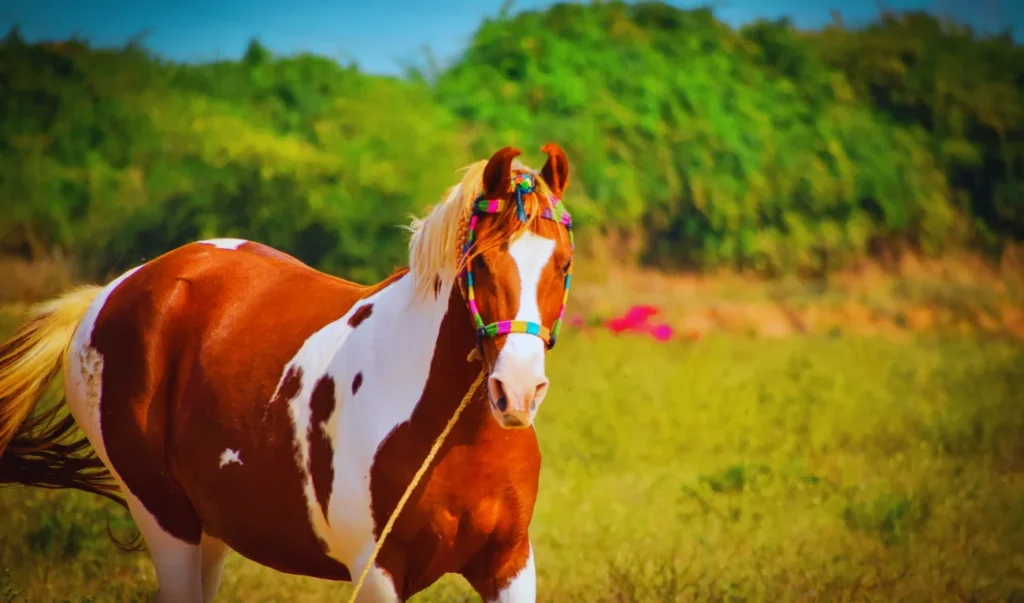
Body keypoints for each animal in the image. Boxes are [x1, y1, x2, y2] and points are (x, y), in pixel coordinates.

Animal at [0, 143, 577, 597]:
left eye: (564, 263)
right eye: (480, 263)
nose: (518, 392)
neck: (455, 438)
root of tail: (112, 291)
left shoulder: (508, 564)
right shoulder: (377, 573)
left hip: (211, 529)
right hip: (164, 518)